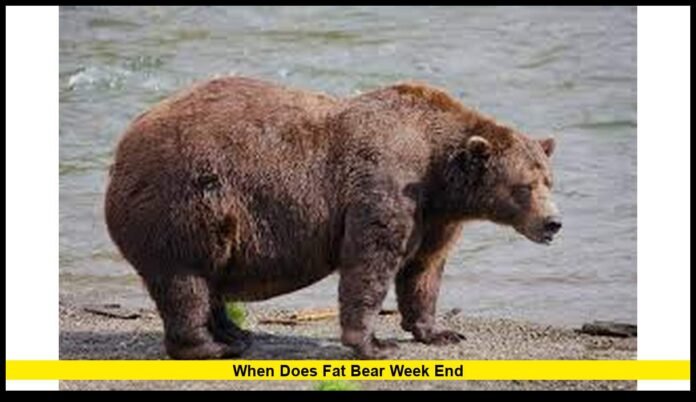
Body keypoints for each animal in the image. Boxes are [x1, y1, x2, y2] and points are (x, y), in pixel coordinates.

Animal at [104, 76, 561, 359]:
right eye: (524, 186)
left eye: (548, 180)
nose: (553, 223)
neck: (439, 174)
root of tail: (122, 146)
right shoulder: (385, 184)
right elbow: (370, 261)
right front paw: (375, 344)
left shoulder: (435, 216)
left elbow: (424, 270)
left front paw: (439, 332)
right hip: (184, 201)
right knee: (186, 279)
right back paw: (210, 346)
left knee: (209, 277)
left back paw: (235, 333)